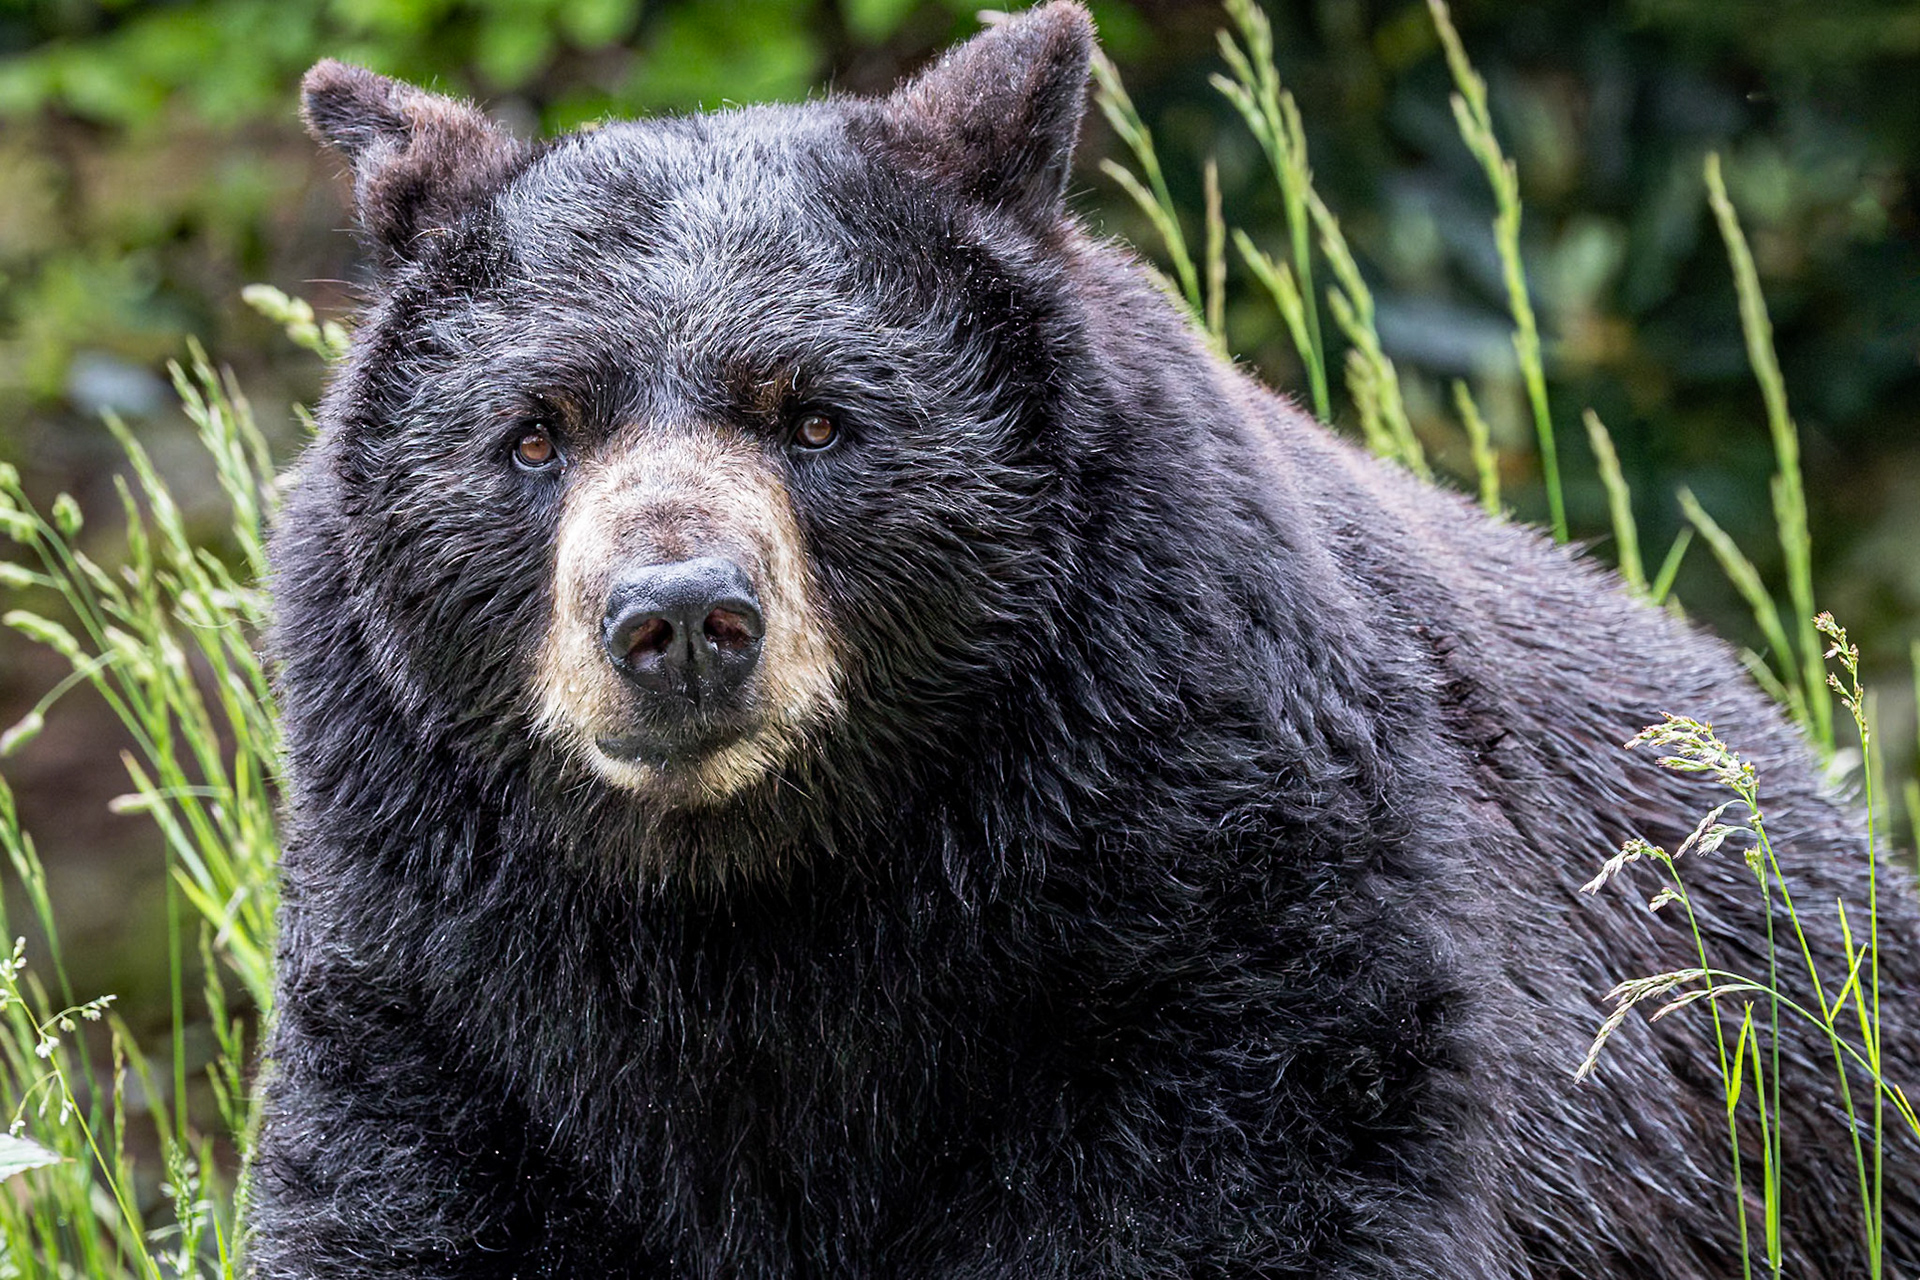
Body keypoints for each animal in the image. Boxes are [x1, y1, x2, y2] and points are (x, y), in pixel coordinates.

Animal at [254, 5, 1920, 1277]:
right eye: (536, 432)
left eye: (817, 417)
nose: (678, 619)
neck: (770, 899)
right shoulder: (449, 969)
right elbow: (404, 1195)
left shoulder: (1223, 906)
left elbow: (1256, 1193)